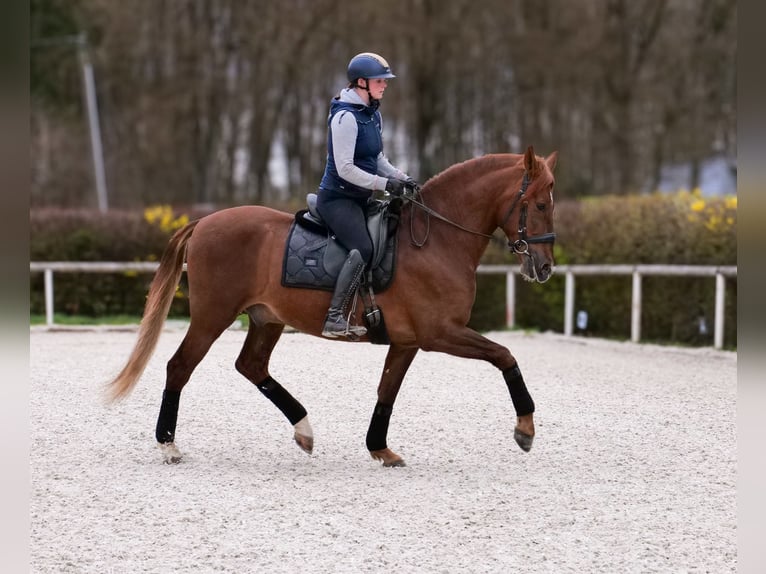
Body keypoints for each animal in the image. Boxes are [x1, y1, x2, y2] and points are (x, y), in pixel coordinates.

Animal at [106, 145, 558, 466]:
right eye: (539, 205)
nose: (545, 267)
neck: (437, 240)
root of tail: (205, 222)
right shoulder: (439, 333)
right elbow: (505, 355)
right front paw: (525, 429)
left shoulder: (408, 341)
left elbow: (387, 390)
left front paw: (380, 448)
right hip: (212, 316)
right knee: (180, 367)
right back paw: (168, 445)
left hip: (266, 319)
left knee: (252, 366)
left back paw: (304, 430)